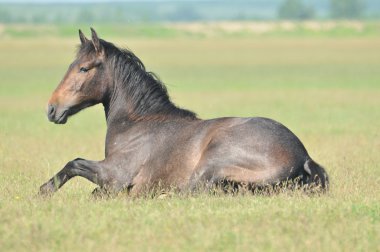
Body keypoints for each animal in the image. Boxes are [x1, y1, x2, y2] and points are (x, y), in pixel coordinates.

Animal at [39, 28, 330, 196]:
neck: (137, 125)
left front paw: (43, 191)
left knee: (189, 191)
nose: (52, 109)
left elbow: (75, 164)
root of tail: (303, 158)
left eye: (83, 68)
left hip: (211, 163)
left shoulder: (115, 175)